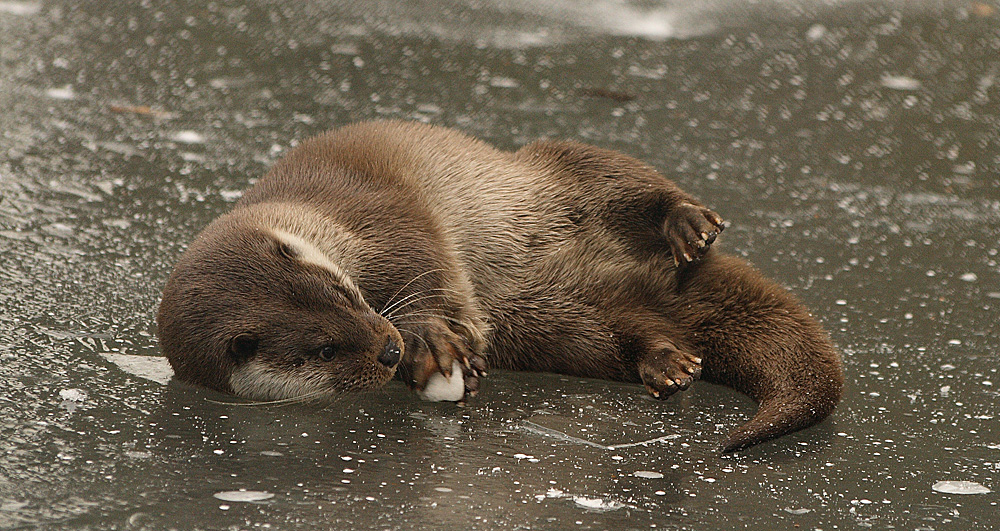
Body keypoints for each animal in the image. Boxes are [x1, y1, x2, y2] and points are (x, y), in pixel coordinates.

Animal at [158, 120, 844, 454]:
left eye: (345, 294)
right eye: (322, 350)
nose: (386, 347)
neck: (329, 217)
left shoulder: (389, 214)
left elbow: (431, 273)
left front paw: (430, 338)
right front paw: (437, 362)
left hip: (555, 169)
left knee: (627, 179)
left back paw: (687, 224)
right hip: (551, 319)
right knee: (616, 333)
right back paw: (665, 363)